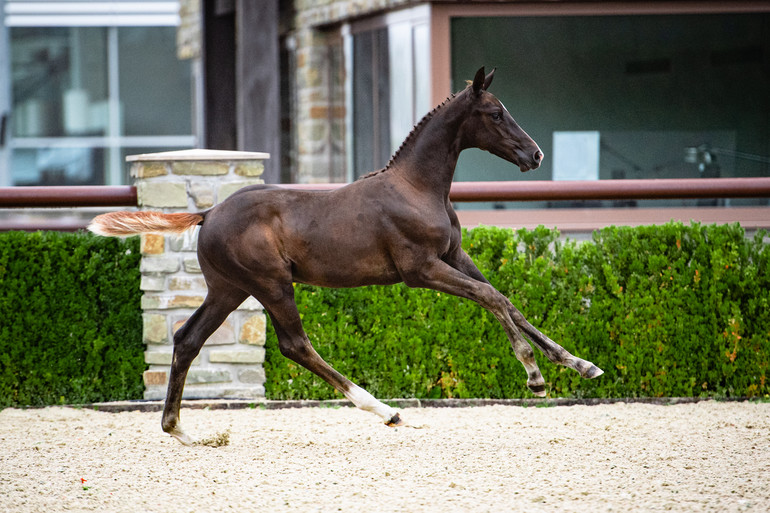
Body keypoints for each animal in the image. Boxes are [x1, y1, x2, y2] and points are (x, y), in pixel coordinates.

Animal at [91, 68, 600, 444]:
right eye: (495, 113)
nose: (535, 156)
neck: (417, 188)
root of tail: (207, 212)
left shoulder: (455, 257)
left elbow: (505, 299)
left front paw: (580, 364)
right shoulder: (420, 270)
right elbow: (490, 298)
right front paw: (533, 374)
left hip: (229, 289)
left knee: (187, 339)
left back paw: (179, 430)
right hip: (271, 284)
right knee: (294, 345)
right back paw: (386, 410)